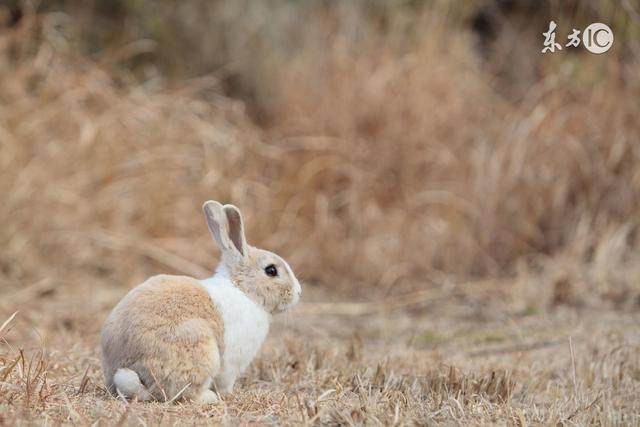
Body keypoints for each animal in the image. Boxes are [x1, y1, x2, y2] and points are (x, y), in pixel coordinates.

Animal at [100, 201, 302, 404]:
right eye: (271, 270)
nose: (299, 292)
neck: (243, 290)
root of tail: (130, 371)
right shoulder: (231, 363)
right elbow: (226, 382)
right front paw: (228, 395)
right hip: (202, 352)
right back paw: (209, 397)